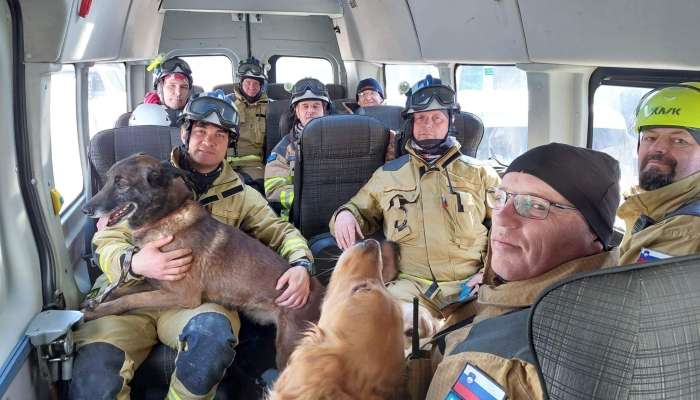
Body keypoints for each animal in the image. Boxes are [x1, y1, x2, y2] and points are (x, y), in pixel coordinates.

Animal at [80, 154, 326, 368]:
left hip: (289, 350)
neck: (165, 216)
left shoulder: (182, 295)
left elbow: (129, 300)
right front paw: (95, 302)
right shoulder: (154, 282)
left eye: (121, 183)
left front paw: (97, 310)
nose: (85, 209)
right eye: (107, 180)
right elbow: (124, 291)